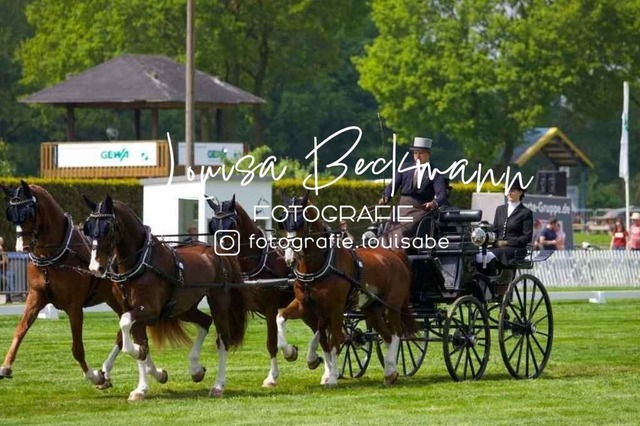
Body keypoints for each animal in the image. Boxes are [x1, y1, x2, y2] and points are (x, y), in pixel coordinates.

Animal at [0, 180, 123, 388]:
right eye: (11, 214)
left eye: (29, 214)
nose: (20, 247)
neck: (53, 254)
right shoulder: (36, 297)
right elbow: (20, 329)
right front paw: (6, 366)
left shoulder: (74, 307)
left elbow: (77, 349)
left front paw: (93, 376)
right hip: (112, 298)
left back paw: (106, 372)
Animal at [82, 194, 248, 400]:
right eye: (88, 228)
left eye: (108, 227)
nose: (95, 267)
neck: (141, 263)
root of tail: (219, 252)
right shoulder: (130, 308)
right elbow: (137, 340)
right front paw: (141, 387)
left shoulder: (149, 311)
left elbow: (127, 328)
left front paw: (137, 357)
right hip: (183, 307)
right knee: (204, 321)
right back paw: (196, 369)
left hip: (219, 301)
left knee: (223, 339)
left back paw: (218, 385)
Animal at [207, 195, 322, 388]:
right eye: (213, 225)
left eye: (231, 224)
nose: (221, 252)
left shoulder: (270, 307)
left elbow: (272, 342)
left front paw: (273, 374)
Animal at [277, 191, 417, 386]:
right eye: (283, 221)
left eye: (301, 222)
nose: (290, 258)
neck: (320, 265)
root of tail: (394, 255)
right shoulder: (305, 305)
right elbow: (282, 318)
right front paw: (291, 352)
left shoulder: (336, 309)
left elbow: (335, 339)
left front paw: (332, 377)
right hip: (372, 310)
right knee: (387, 335)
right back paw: (391, 372)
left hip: (392, 305)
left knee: (397, 332)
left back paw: (390, 369)